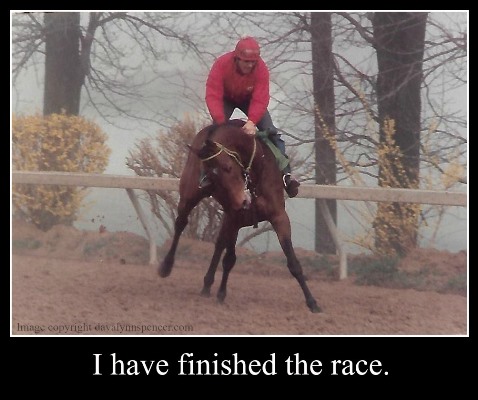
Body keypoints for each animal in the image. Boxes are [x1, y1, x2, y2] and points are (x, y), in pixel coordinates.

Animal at [160, 119, 322, 312]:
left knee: (218, 243)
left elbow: (293, 263)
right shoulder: (234, 216)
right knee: (181, 223)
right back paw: (167, 266)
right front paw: (221, 294)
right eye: (211, 178)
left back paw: (207, 284)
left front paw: (312, 302)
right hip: (189, 196)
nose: (243, 201)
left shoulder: (278, 217)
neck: (255, 173)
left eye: (228, 167)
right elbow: (229, 259)